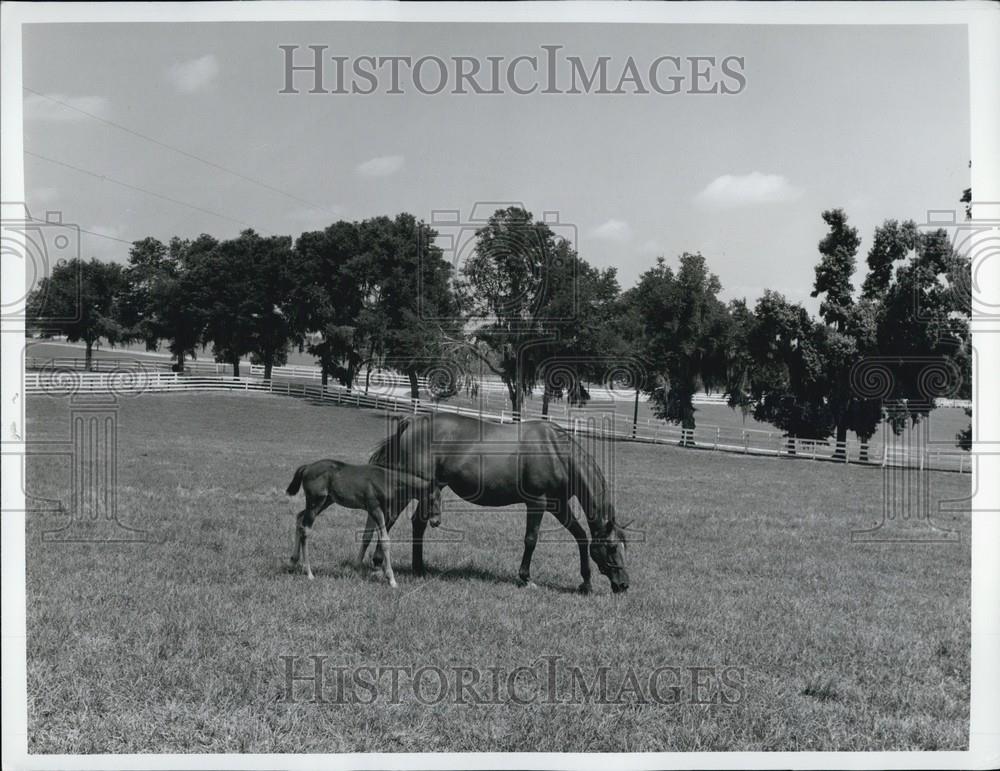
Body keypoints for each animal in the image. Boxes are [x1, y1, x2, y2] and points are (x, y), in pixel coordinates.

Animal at [284, 459, 439, 588]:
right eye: (432, 499)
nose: (436, 521)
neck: (388, 481)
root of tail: (307, 467)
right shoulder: (375, 508)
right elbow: (385, 540)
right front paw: (391, 579)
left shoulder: (373, 511)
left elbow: (367, 536)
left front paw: (355, 569)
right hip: (315, 501)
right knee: (305, 529)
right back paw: (309, 572)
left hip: (326, 501)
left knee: (299, 518)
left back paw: (292, 562)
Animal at [368, 413, 629, 594]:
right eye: (612, 548)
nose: (624, 584)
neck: (556, 452)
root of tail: (413, 421)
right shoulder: (537, 503)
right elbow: (531, 540)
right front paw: (526, 578)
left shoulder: (559, 505)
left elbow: (581, 536)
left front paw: (586, 582)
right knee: (389, 519)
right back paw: (379, 565)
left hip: (429, 490)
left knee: (417, 523)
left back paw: (419, 568)